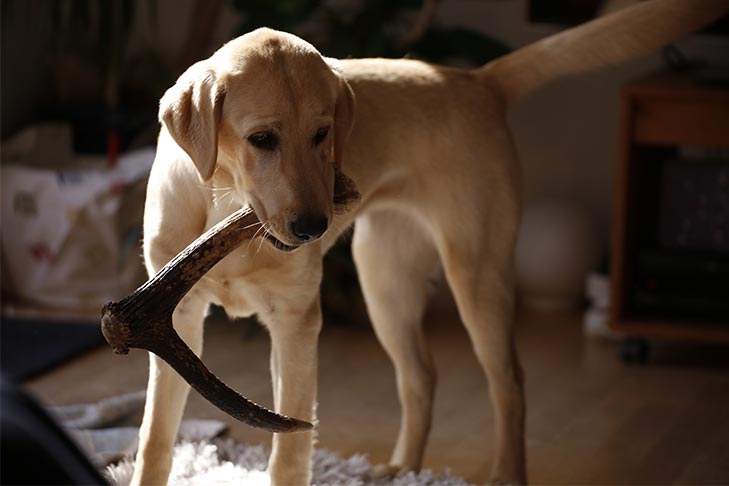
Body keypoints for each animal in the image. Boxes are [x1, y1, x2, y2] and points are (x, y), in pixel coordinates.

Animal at [134, 1, 724, 484]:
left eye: (323, 134)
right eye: (261, 139)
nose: (313, 229)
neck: (225, 207)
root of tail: (476, 79)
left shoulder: (296, 322)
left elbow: (290, 452)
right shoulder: (174, 325)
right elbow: (156, 437)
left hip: (476, 272)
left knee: (509, 383)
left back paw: (506, 475)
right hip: (384, 283)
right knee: (421, 377)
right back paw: (402, 469)